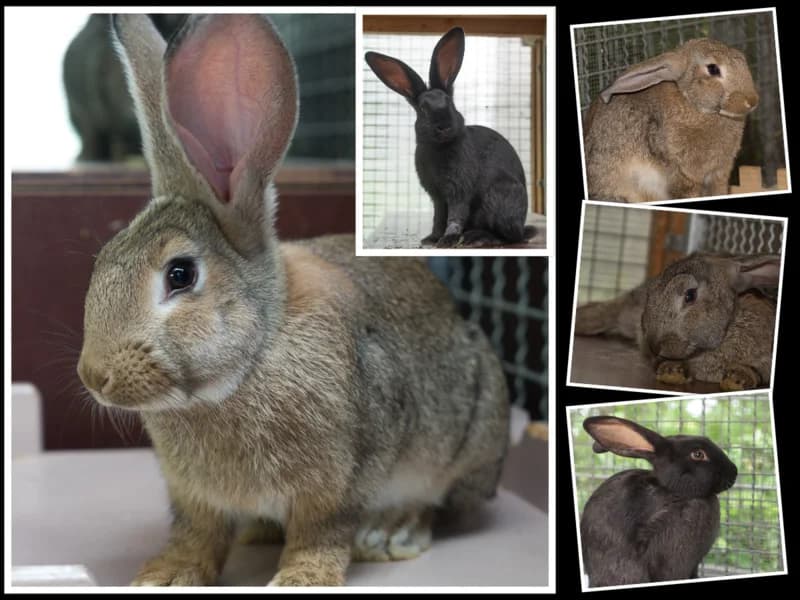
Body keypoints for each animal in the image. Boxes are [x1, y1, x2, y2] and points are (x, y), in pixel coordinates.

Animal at [75, 15, 510, 587]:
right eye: (104, 255)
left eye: (180, 275)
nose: (93, 376)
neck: (254, 354)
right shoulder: (193, 496)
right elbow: (196, 533)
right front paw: (165, 575)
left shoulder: (340, 480)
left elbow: (321, 533)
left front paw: (302, 579)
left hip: (468, 434)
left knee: (438, 502)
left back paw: (391, 533)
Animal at [365, 28, 535, 248]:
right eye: (423, 109)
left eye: (450, 103)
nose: (444, 126)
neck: (439, 147)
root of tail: (522, 225)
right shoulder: (437, 195)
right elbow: (438, 216)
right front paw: (432, 238)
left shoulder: (458, 190)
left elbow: (455, 215)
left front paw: (447, 239)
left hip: (500, 196)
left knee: (509, 237)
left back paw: (478, 237)